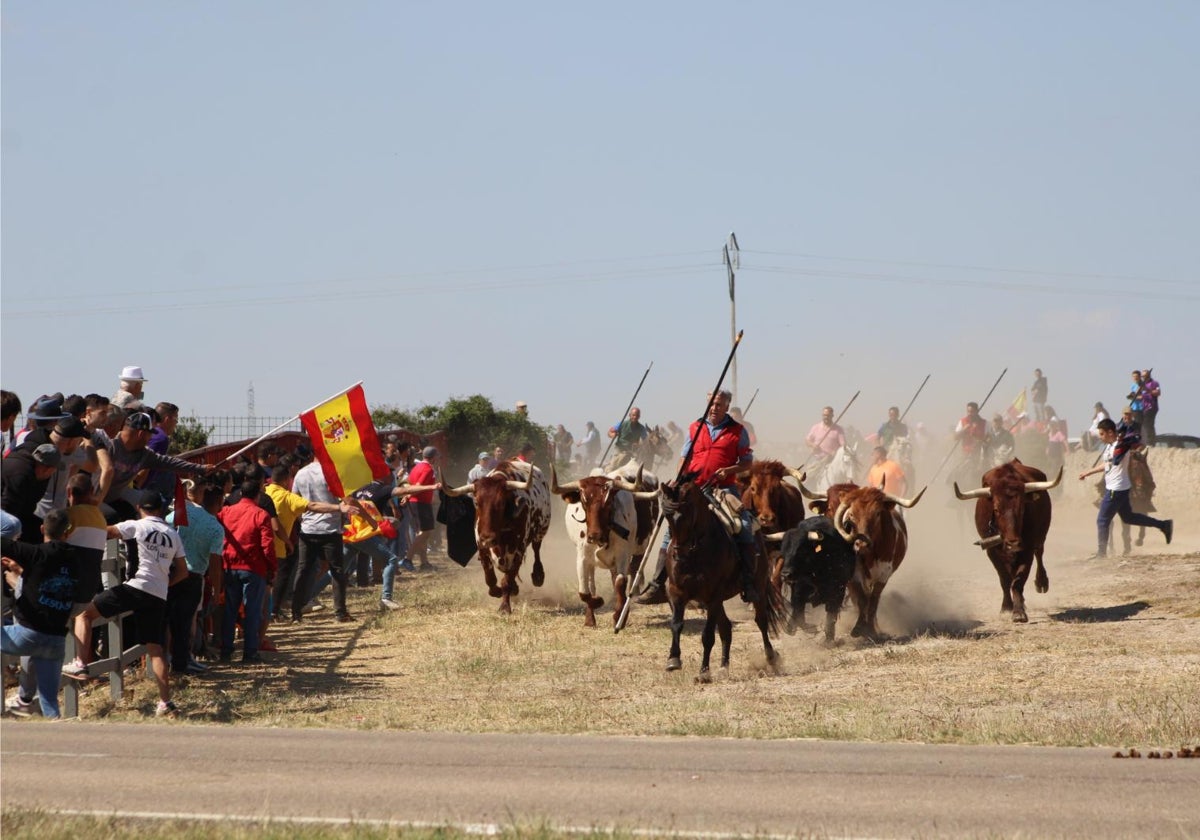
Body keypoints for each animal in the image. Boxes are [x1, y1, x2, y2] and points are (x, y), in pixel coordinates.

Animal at [444, 458, 549, 609]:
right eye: (476, 502)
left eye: (502, 503)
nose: (488, 539)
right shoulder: (482, 548)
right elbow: (490, 579)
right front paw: (498, 591)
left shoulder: (518, 551)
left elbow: (507, 580)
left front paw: (505, 607)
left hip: (542, 529)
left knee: (536, 548)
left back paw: (538, 575)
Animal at [549, 463, 662, 628]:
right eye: (584, 502)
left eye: (608, 502)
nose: (594, 535)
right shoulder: (582, 558)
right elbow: (584, 592)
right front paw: (596, 605)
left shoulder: (623, 555)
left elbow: (620, 582)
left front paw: (619, 616)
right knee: (593, 583)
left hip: (641, 548)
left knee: (631, 575)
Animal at [657, 472, 787, 681]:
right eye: (668, 516)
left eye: (686, 514)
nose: (678, 554)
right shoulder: (677, 592)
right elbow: (676, 624)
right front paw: (673, 660)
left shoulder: (714, 596)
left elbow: (708, 635)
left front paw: (703, 672)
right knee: (726, 628)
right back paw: (723, 667)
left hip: (757, 588)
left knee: (761, 621)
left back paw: (771, 658)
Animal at [835, 482, 926, 638]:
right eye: (851, 514)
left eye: (877, 513)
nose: (861, 544)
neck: (870, 554)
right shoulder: (856, 574)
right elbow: (862, 600)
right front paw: (858, 628)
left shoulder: (884, 575)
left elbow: (873, 601)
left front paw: (871, 629)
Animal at [955, 458, 1060, 624]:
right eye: (996, 509)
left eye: (1022, 508)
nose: (1013, 541)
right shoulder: (991, 551)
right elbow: (1005, 579)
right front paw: (1006, 608)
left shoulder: (1027, 549)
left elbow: (1018, 581)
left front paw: (1018, 612)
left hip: (1041, 537)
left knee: (1039, 553)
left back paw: (1041, 582)